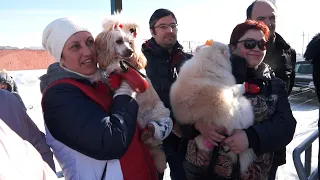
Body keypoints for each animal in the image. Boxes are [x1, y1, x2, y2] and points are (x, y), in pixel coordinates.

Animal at [94, 15, 172, 173]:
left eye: (130, 42)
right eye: (118, 41)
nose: (130, 51)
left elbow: (118, 66)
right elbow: (102, 73)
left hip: (157, 115)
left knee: (155, 139)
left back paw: (149, 135)